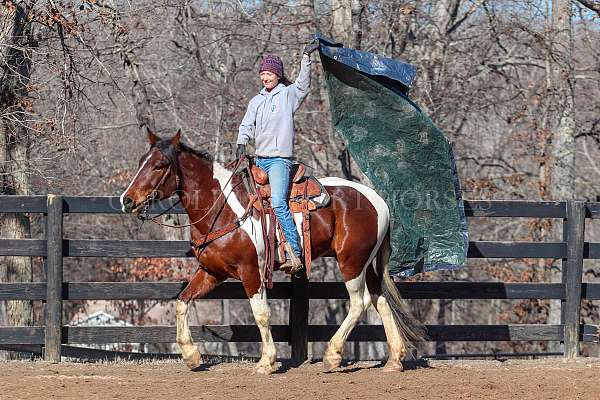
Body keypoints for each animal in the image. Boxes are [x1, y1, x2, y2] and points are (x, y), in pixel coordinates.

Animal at [120, 130, 422, 374]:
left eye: (159, 165)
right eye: (141, 161)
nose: (127, 200)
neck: (222, 207)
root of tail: (378, 200)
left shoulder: (251, 272)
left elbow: (261, 314)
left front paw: (267, 361)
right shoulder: (211, 272)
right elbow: (183, 301)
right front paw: (192, 355)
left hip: (351, 262)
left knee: (360, 302)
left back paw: (332, 356)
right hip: (367, 263)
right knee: (380, 300)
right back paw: (394, 360)